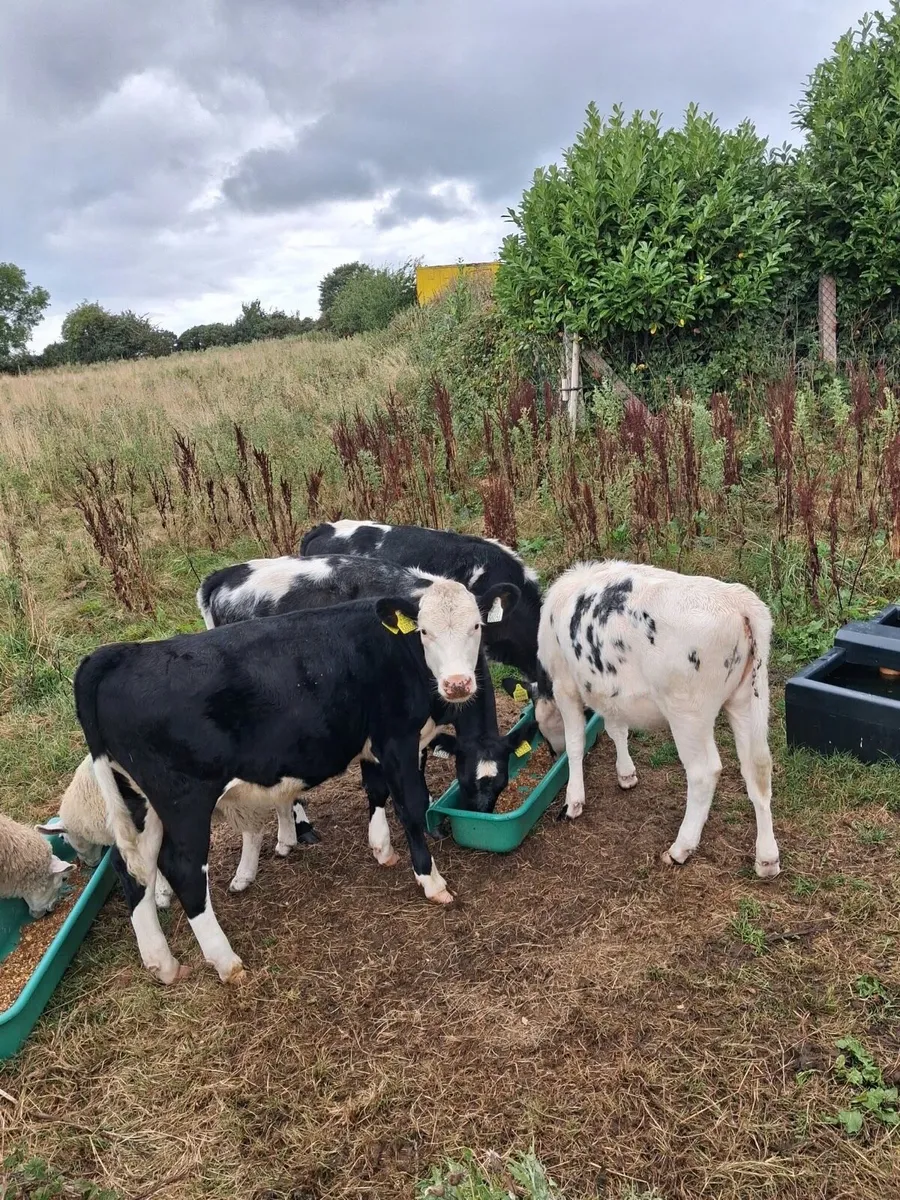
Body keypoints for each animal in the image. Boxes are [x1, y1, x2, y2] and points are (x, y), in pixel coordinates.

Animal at [73, 578, 519, 984]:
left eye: (476, 626)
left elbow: (375, 790)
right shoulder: (398, 739)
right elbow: (411, 805)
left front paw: (381, 848)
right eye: (424, 632)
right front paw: (431, 880)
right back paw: (225, 961)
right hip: (184, 800)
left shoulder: (372, 742)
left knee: (132, 868)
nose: (458, 683)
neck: (401, 654)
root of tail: (119, 654)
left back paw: (162, 963)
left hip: (138, 800)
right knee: (181, 869)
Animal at [508, 561, 780, 879]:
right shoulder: (609, 690)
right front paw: (626, 774)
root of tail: (739, 601)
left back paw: (681, 847)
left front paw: (573, 800)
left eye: (539, 727)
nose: (552, 753)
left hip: (688, 714)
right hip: (748, 699)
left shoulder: (565, 685)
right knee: (757, 770)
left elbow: (576, 743)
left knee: (704, 773)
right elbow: (616, 728)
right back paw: (767, 859)